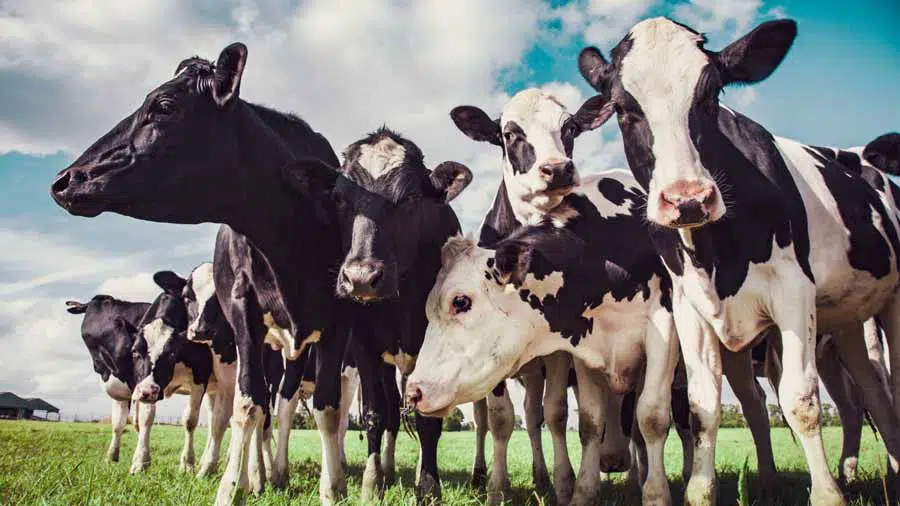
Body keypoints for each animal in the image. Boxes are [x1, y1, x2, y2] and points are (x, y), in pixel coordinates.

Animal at [291, 127, 473, 502]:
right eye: (339, 199)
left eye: (411, 199)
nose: (361, 277)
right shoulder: (365, 345)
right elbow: (376, 413)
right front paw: (372, 483)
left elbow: (428, 421)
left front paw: (428, 487)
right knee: (391, 408)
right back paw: (388, 469)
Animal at [407, 169, 681, 506]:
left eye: (460, 301)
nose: (413, 392)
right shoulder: (586, 348)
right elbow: (590, 421)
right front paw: (582, 492)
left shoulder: (664, 330)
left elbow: (651, 417)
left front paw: (655, 494)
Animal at [447, 87, 611, 505]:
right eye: (509, 134)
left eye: (570, 128)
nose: (558, 169)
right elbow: (500, 419)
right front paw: (497, 487)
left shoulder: (557, 351)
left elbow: (554, 413)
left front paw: (564, 482)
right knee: (482, 421)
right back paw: (479, 473)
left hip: (533, 369)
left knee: (534, 415)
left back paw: (541, 477)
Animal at [577, 17, 900, 506]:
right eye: (624, 108)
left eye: (710, 95)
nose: (688, 199)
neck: (716, 253)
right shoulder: (690, 308)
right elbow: (702, 407)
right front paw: (699, 491)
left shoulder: (793, 291)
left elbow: (800, 401)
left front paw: (827, 494)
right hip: (847, 322)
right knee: (871, 393)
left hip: (892, 303)